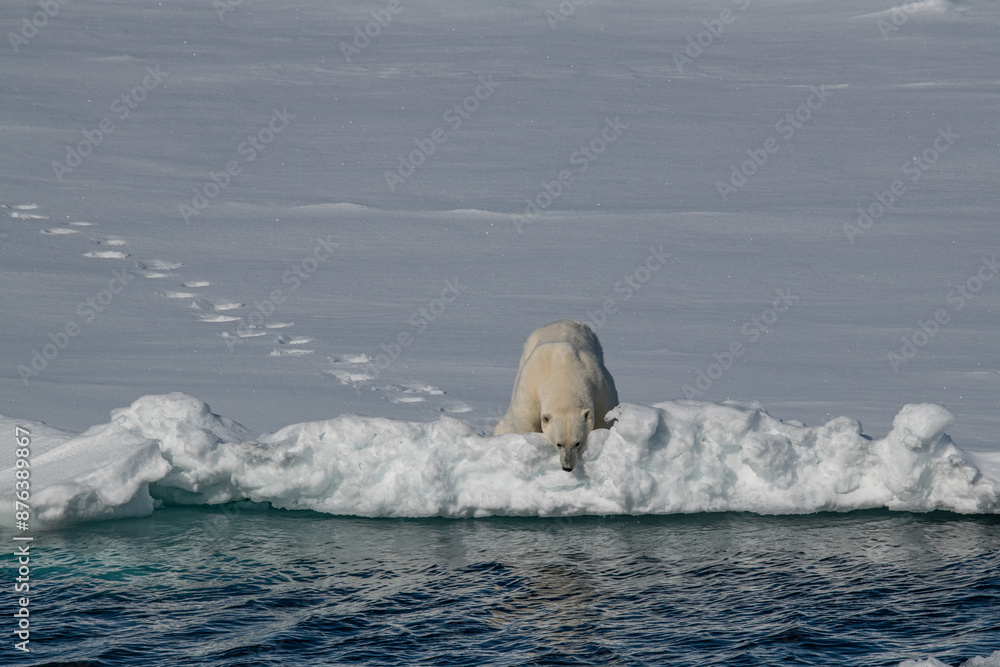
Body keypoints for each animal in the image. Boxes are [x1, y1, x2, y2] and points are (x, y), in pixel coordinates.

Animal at [494, 320, 619, 471]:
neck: (565, 372)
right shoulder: (531, 386)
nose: (567, 467)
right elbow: (527, 421)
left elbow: (604, 419)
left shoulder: (600, 387)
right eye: (559, 444)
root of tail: (564, 320)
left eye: (577, 443)